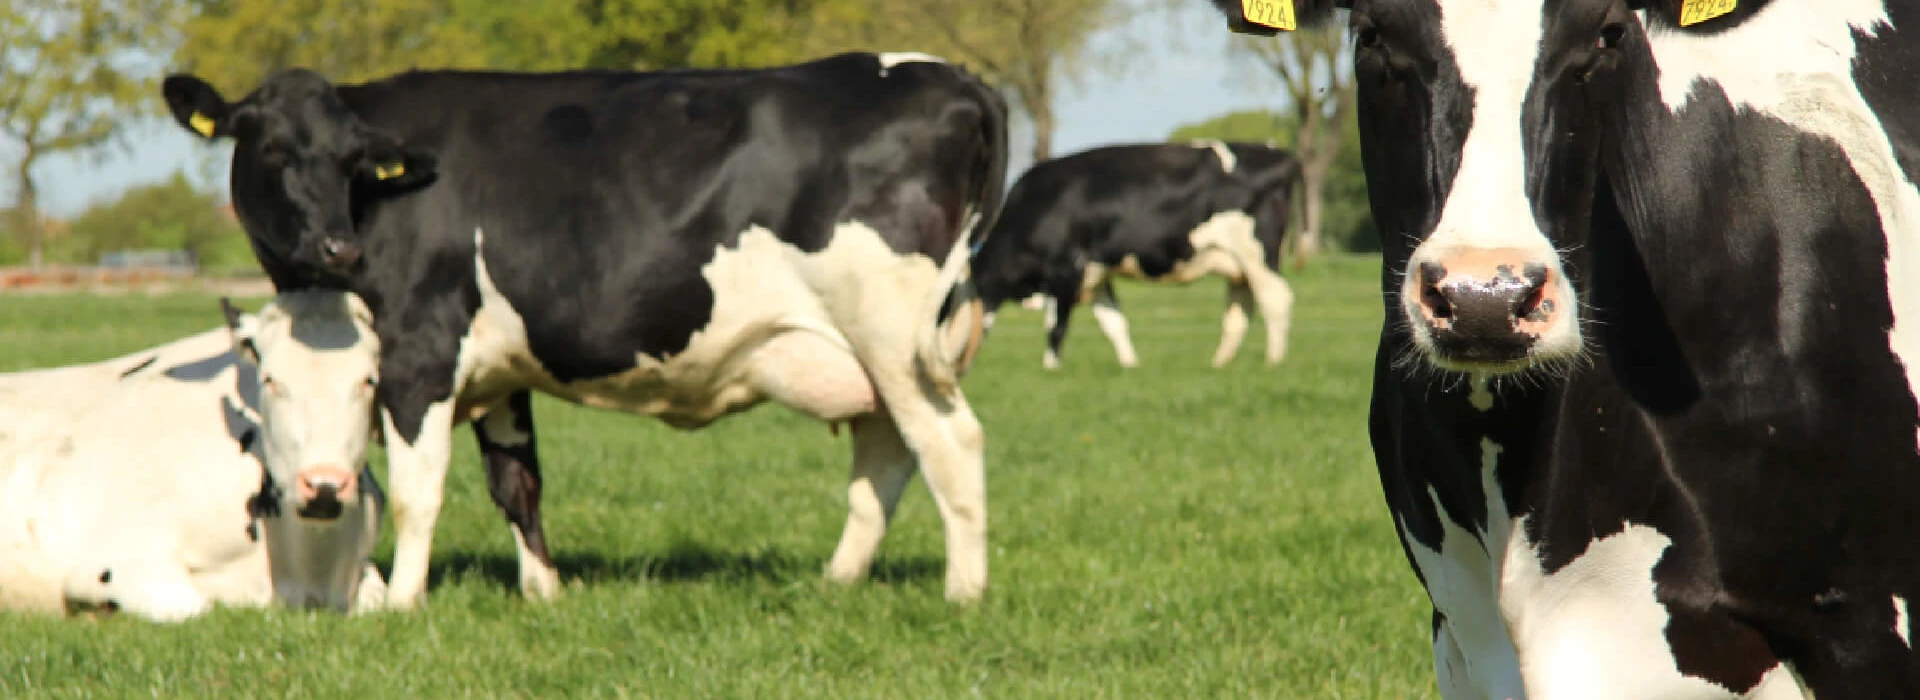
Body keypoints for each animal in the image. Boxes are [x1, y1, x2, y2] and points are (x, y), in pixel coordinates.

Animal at [161, 51, 1008, 609]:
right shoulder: (498, 370)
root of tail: (957, 77)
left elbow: (415, 491)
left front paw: (402, 603)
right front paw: (544, 591)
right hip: (879, 355)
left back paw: (964, 591)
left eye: (353, 162)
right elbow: (517, 483)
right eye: (271, 149)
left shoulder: (418, 353)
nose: (338, 245)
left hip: (893, 336)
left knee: (951, 445)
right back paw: (837, 582)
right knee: (886, 461)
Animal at [970, 141, 1300, 369]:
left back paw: (1274, 361)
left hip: (1258, 256)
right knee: (1238, 314)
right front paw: (1130, 365)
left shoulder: (1066, 269)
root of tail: (1280, 155)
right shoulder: (1097, 274)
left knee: (1275, 299)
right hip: (1237, 266)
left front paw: (1050, 369)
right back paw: (1219, 364)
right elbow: (1114, 323)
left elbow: (1056, 327)